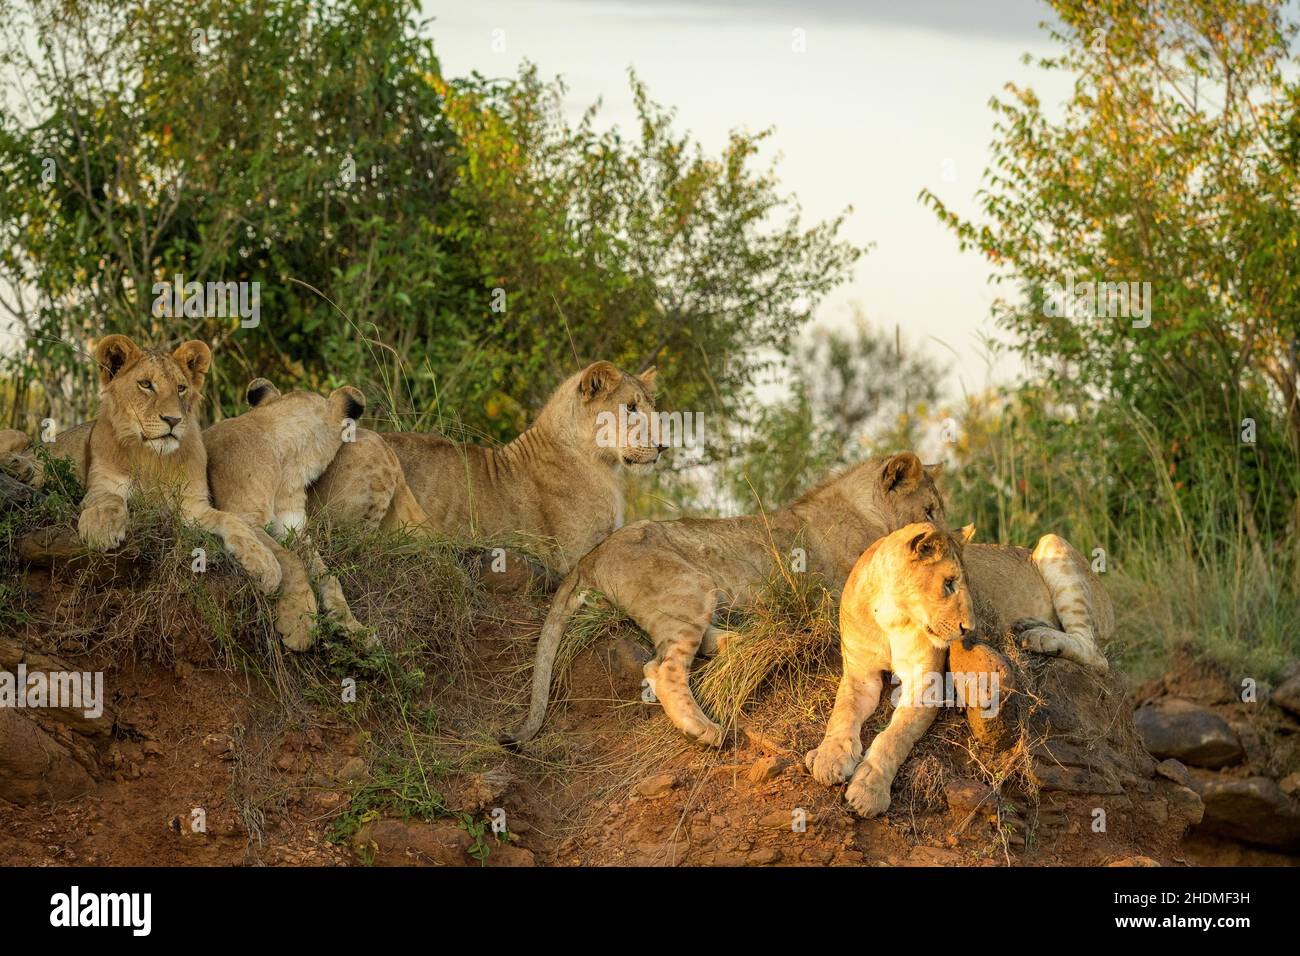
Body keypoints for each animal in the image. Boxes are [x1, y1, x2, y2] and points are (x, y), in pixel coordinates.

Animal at [203, 377, 378, 652]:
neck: (288, 464)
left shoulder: (293, 528)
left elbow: (328, 576)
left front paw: (353, 627)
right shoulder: (242, 514)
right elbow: (290, 560)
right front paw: (300, 625)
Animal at [310, 361, 662, 575]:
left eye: (651, 406)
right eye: (631, 408)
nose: (663, 446)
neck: (603, 464)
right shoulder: (575, 558)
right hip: (375, 450)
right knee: (356, 541)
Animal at [503, 453, 947, 747]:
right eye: (928, 510)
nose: (947, 536)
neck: (869, 514)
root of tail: (590, 557)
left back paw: (757, 638)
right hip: (690, 587)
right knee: (662, 667)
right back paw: (707, 730)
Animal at [805, 521, 1112, 817]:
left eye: (966, 582)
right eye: (949, 583)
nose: (970, 627)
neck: (892, 615)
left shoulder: (927, 683)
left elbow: (894, 736)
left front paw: (869, 789)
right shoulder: (859, 674)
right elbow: (842, 712)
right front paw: (829, 757)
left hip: (1053, 543)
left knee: (1096, 656)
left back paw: (1039, 637)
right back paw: (1028, 626)